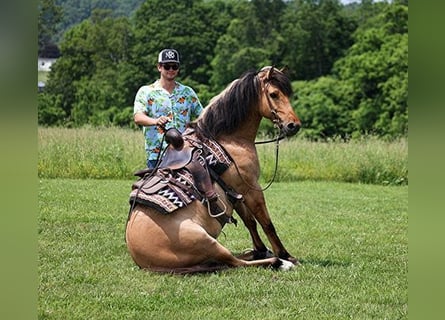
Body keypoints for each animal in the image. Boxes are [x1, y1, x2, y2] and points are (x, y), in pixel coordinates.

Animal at [125, 66, 302, 274]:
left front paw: (261, 249)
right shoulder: (251, 188)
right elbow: (266, 223)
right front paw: (286, 255)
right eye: (274, 94)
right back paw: (280, 262)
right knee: (235, 263)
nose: (294, 125)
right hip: (207, 242)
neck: (230, 140)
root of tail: (143, 261)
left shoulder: (236, 193)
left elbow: (250, 222)